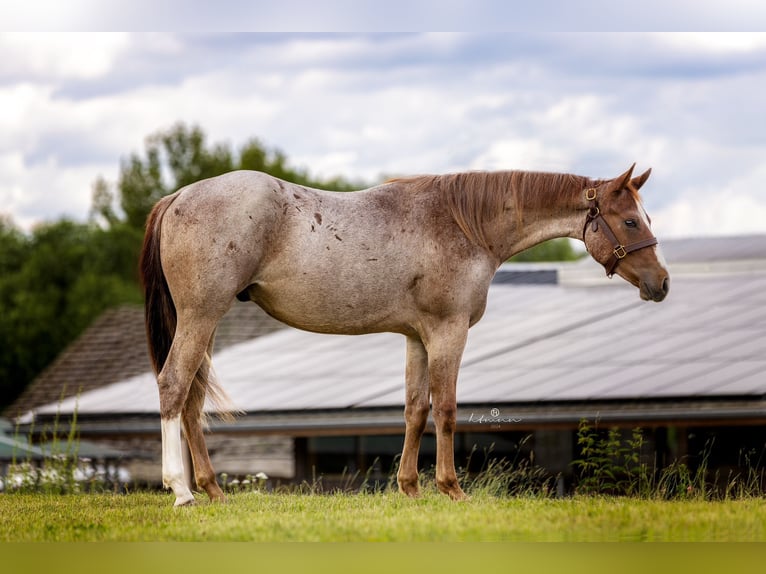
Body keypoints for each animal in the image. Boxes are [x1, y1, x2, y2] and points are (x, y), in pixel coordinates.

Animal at [141, 163, 668, 508]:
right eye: (629, 220)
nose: (661, 283)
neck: (462, 224)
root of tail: (179, 197)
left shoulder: (416, 337)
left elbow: (416, 409)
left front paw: (410, 487)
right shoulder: (447, 332)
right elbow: (447, 409)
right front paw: (451, 488)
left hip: (206, 322)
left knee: (191, 400)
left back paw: (211, 489)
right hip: (201, 316)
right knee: (173, 386)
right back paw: (181, 490)